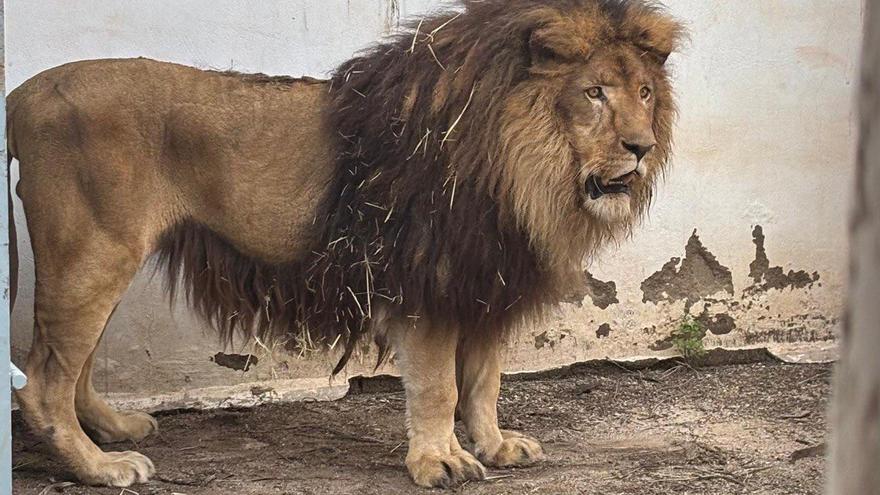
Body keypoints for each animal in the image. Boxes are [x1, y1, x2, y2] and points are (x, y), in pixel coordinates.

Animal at [7, 0, 683, 488]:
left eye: (644, 93)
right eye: (594, 92)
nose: (641, 147)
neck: (527, 163)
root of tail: (21, 94)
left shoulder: (482, 279)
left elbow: (483, 382)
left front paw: (494, 445)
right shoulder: (427, 280)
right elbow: (438, 386)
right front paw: (440, 461)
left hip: (102, 260)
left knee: (75, 367)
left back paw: (114, 430)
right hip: (93, 253)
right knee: (43, 382)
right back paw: (99, 468)